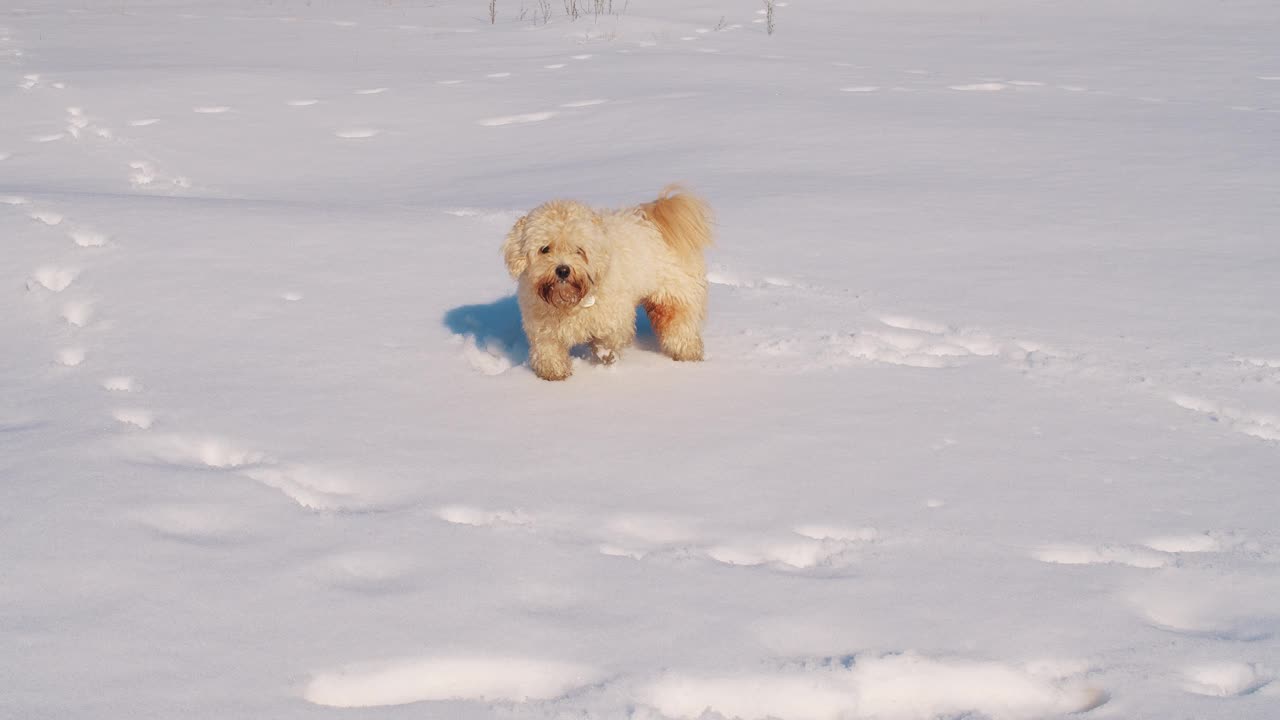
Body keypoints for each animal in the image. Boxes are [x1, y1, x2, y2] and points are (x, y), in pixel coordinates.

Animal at [499, 183, 716, 381]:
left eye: (579, 250)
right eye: (544, 249)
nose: (563, 270)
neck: (569, 301)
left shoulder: (614, 319)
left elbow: (608, 342)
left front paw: (605, 360)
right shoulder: (543, 328)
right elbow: (548, 350)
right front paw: (554, 373)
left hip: (674, 297)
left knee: (680, 327)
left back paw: (687, 354)